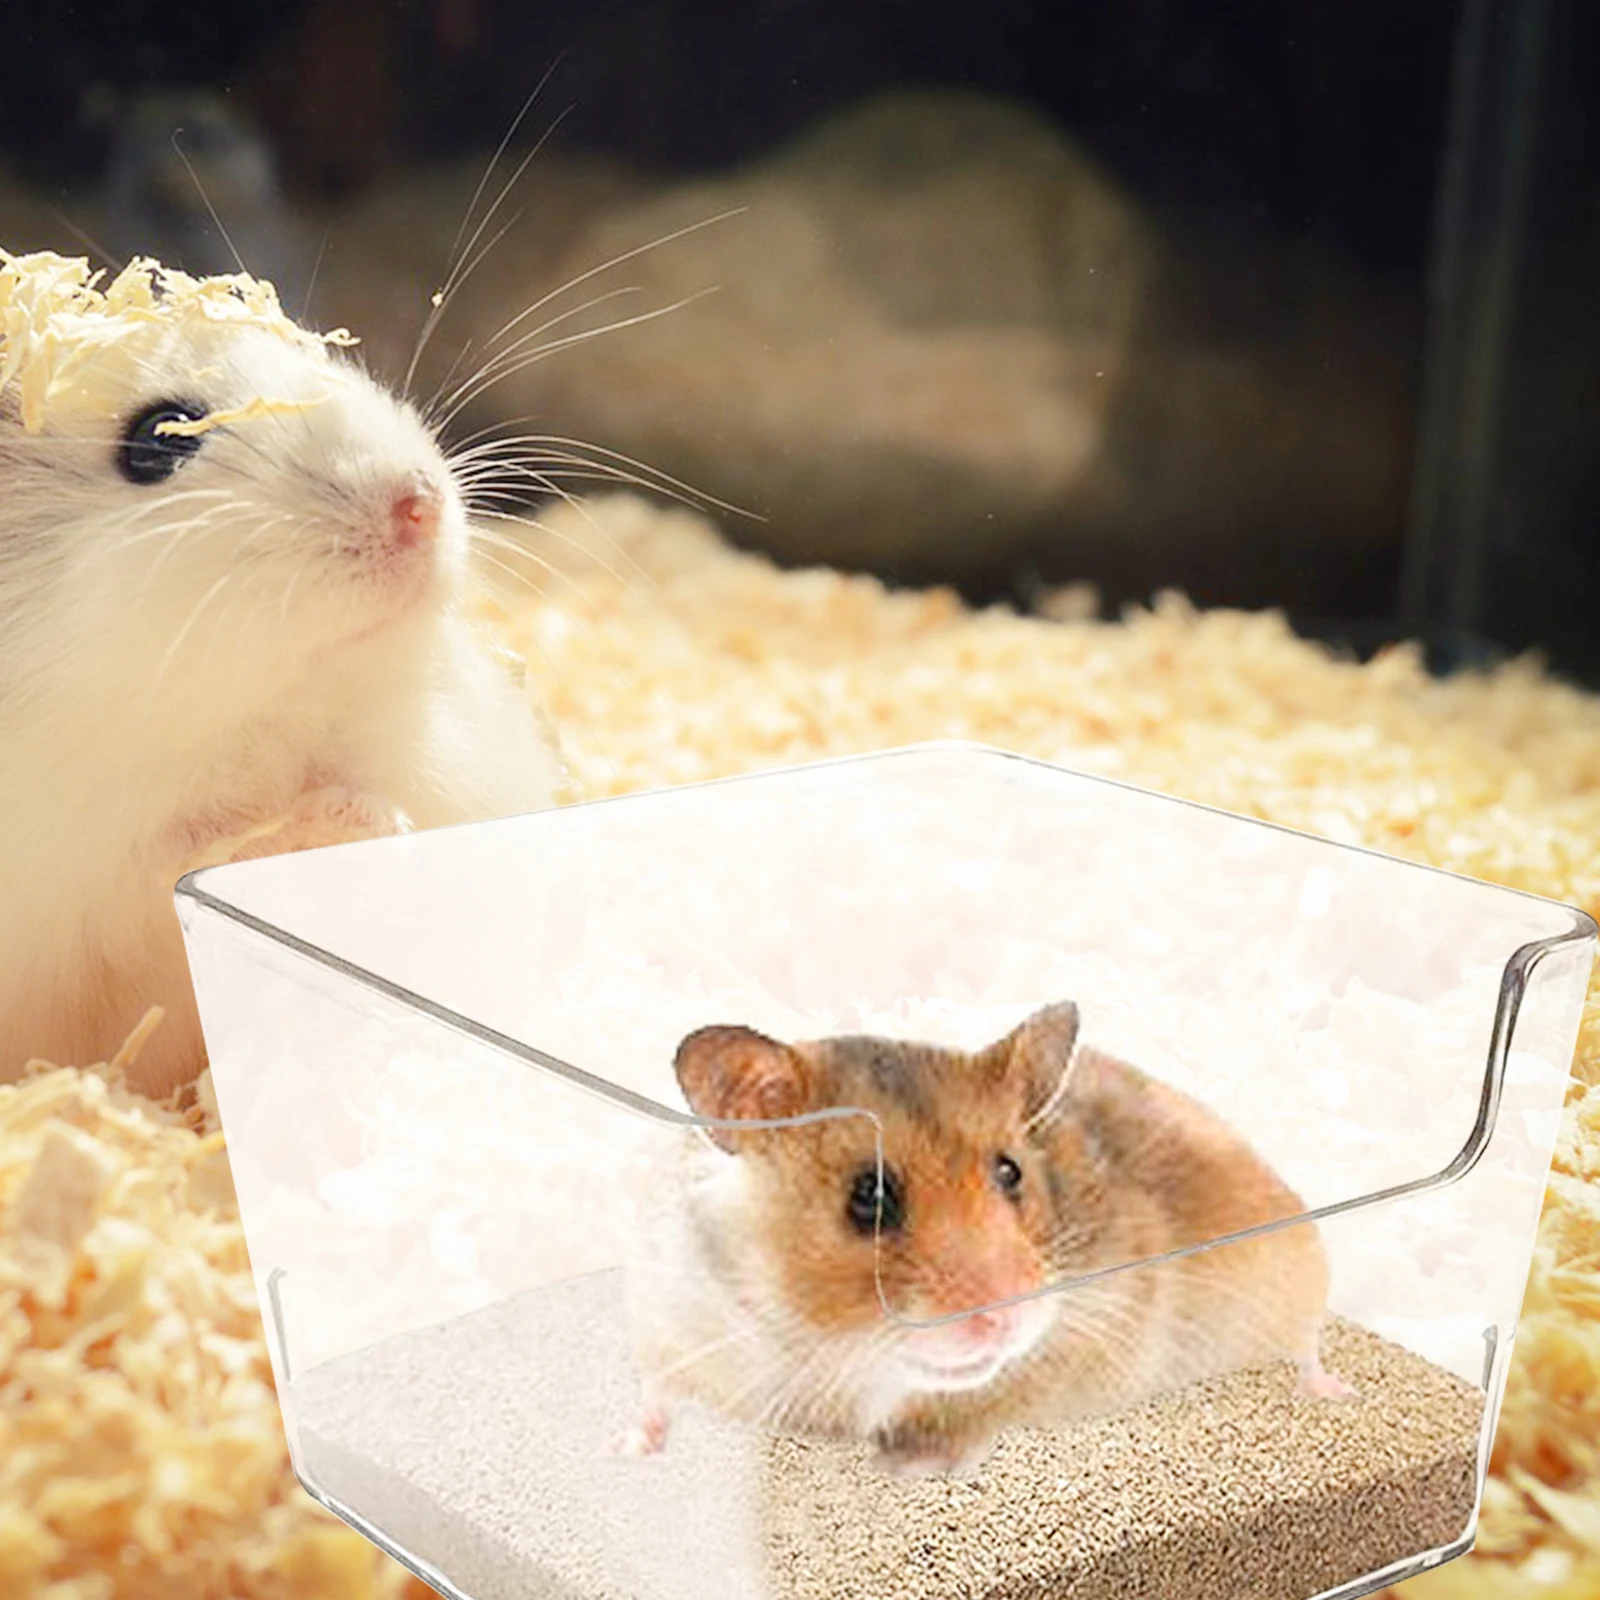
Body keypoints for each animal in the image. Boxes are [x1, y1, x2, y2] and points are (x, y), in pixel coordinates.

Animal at [0, 250, 562, 1100]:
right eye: (158, 440)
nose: (421, 506)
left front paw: (374, 822)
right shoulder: (91, 884)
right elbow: (198, 871)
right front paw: (357, 821)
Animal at [619, 1000, 1354, 1477]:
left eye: (1011, 1172)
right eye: (869, 1196)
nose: (1007, 1317)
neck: (829, 1351)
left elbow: (985, 1409)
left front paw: (915, 1468)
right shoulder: (671, 1317)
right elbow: (654, 1389)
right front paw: (628, 1449)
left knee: (1308, 1346)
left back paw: (1335, 1391)